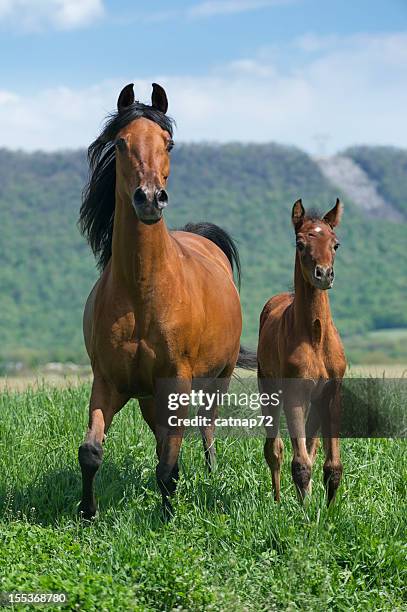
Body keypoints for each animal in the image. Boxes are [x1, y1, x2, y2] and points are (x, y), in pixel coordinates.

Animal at [260, 198, 346, 504]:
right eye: (299, 243)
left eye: (335, 243)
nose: (324, 274)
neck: (316, 338)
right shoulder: (294, 392)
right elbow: (299, 463)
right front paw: (304, 510)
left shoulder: (332, 392)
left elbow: (332, 465)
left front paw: (328, 510)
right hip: (269, 389)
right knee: (274, 448)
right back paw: (276, 500)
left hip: (315, 401)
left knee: (311, 445)